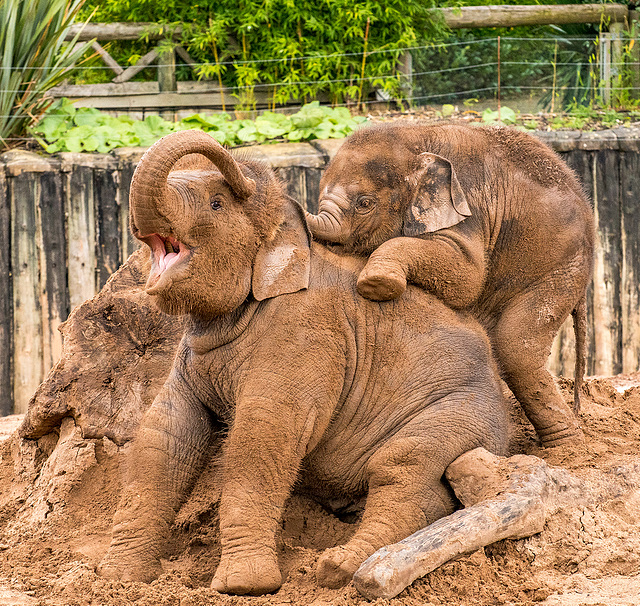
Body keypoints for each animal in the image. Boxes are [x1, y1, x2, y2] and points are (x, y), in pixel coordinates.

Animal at [99, 129, 510, 600]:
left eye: (216, 203)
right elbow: (165, 436)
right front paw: (117, 578)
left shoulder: (307, 334)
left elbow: (265, 433)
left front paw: (243, 587)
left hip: (463, 413)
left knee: (404, 468)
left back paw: (338, 570)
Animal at [304, 122, 596, 446]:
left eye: (365, 204)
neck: (413, 138)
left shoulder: (468, 206)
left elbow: (466, 275)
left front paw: (377, 283)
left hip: (560, 270)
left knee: (517, 348)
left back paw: (567, 447)